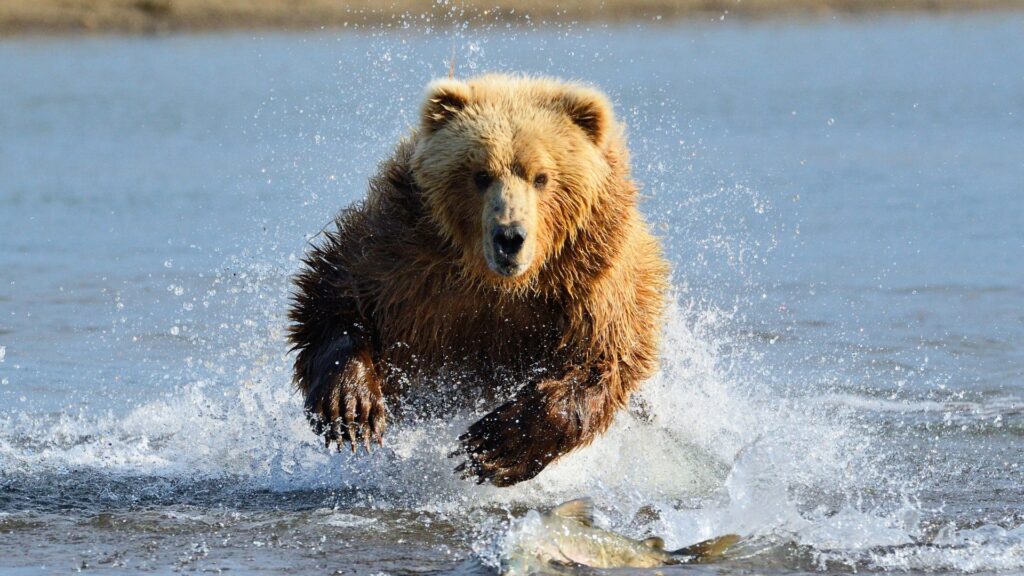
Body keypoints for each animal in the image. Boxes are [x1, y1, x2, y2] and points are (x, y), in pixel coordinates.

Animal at [288, 72, 671, 483]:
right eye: (481, 174)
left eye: (542, 177)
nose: (510, 237)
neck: (497, 282)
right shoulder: (405, 254)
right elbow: (335, 294)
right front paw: (352, 408)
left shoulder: (590, 281)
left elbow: (600, 360)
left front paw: (494, 446)